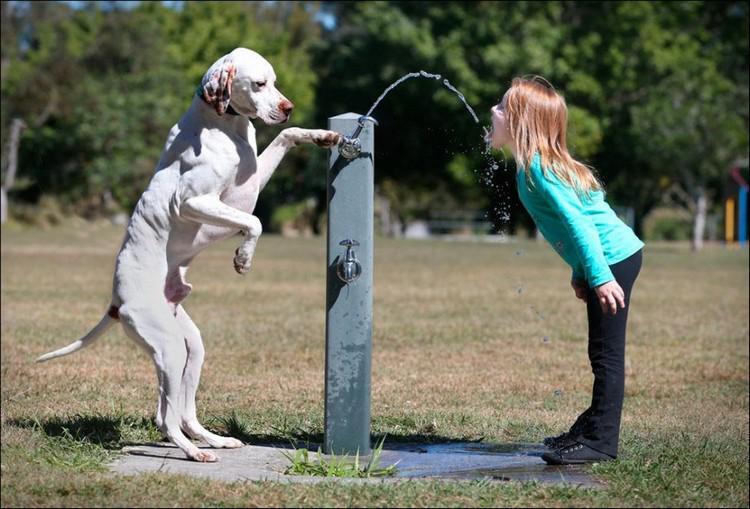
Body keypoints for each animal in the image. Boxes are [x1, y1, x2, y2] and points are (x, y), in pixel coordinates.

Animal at [35, 47, 340, 460]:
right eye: (259, 83)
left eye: (275, 82)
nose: (288, 107)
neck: (223, 126)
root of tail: (116, 301)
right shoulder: (196, 201)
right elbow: (255, 222)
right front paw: (243, 258)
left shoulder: (251, 182)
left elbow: (286, 136)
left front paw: (321, 135)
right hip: (169, 349)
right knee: (164, 416)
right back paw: (195, 452)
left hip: (190, 348)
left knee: (183, 412)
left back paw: (214, 439)